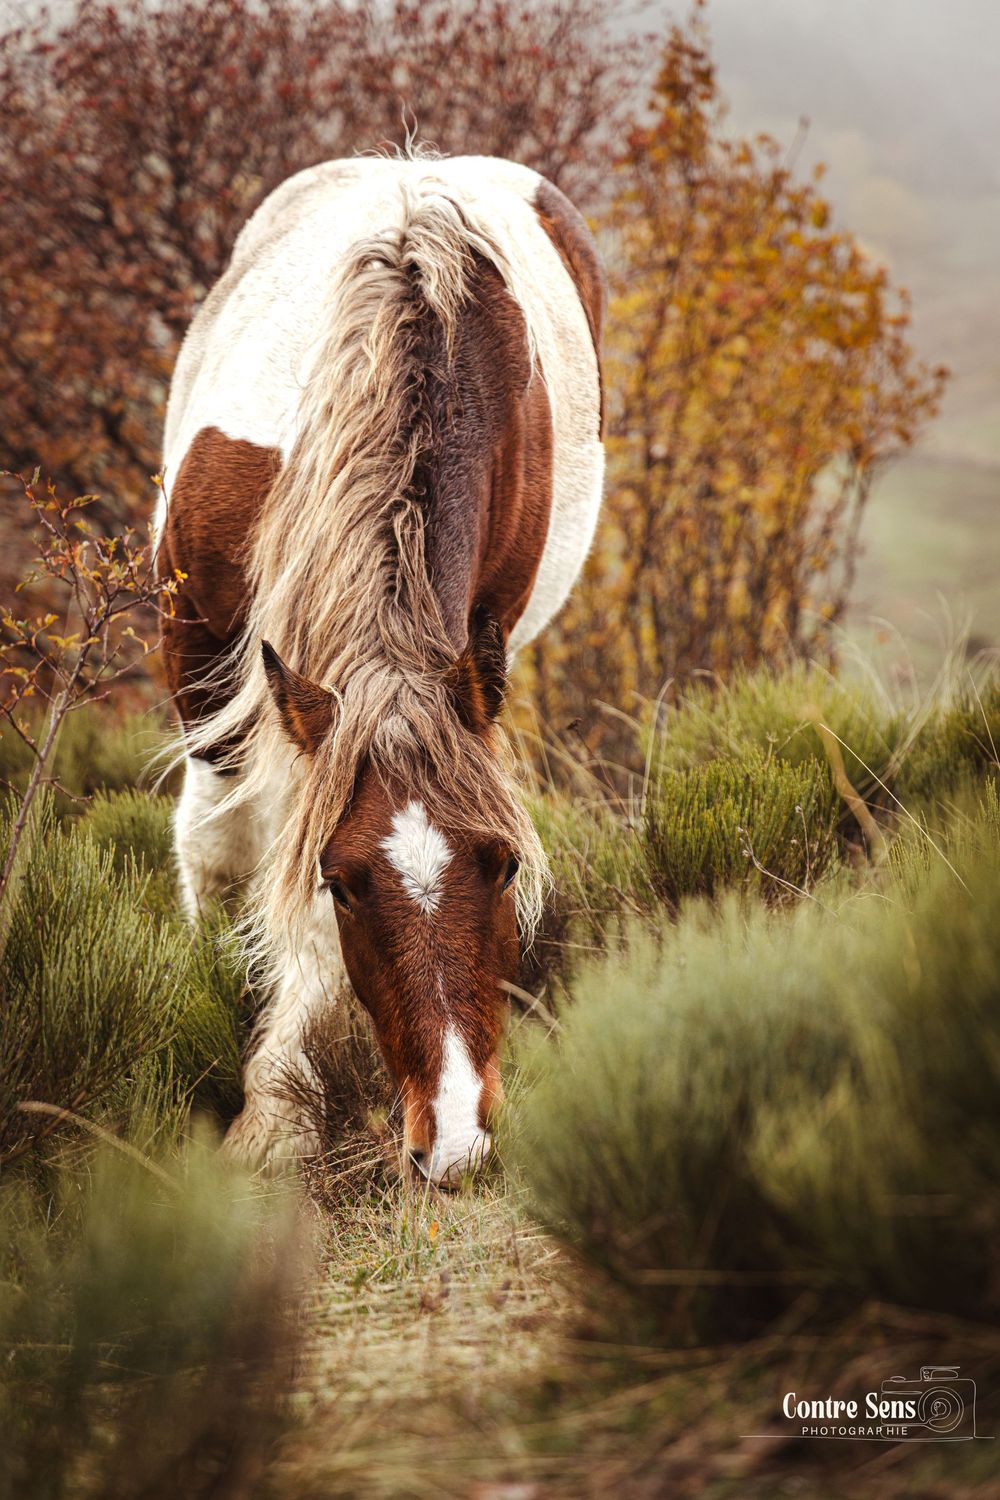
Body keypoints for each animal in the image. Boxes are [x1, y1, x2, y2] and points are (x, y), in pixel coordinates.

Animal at [155, 153, 604, 1184]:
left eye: (504, 864)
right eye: (345, 883)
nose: (460, 1140)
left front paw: (281, 1092)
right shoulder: (200, 647)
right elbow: (224, 847)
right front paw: (264, 1096)